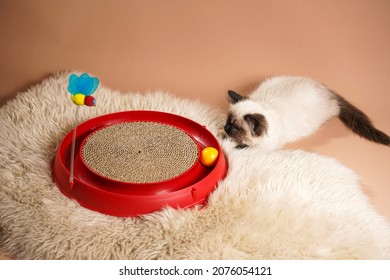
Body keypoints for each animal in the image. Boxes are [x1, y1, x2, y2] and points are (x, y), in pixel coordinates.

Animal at [224, 75, 390, 150]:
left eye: (236, 127)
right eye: (227, 121)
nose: (226, 128)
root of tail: (324, 88)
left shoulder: (267, 146)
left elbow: (248, 146)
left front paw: (234, 144)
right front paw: (223, 136)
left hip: (329, 110)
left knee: (336, 107)